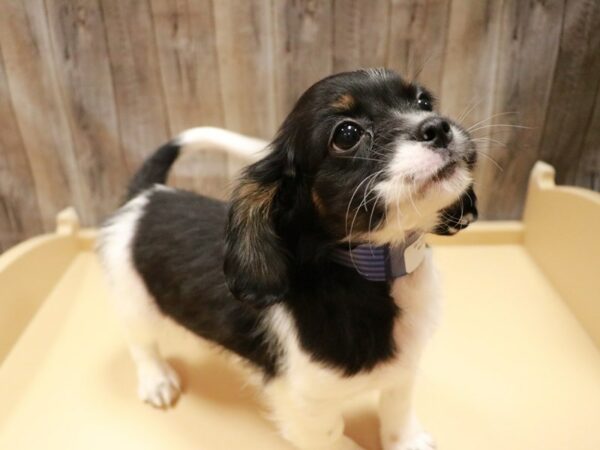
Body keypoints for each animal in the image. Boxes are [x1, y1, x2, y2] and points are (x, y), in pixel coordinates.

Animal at [98, 67, 478, 450]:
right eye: (347, 134)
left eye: (423, 101)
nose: (438, 126)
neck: (373, 270)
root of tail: (145, 195)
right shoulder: (306, 401)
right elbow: (333, 436)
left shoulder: (404, 367)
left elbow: (397, 405)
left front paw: (407, 441)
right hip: (135, 301)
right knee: (141, 343)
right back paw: (156, 380)